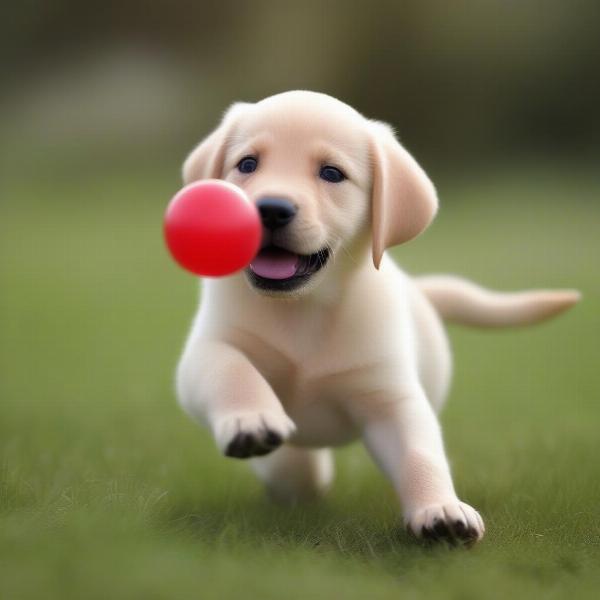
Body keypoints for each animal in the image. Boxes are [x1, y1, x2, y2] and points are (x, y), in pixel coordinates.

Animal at [176, 91, 580, 548]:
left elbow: (420, 453)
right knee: (298, 471)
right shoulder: (208, 347)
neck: (305, 307)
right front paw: (251, 420)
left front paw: (441, 510)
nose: (272, 209)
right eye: (247, 164)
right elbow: (231, 370)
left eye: (331, 173)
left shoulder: (389, 395)